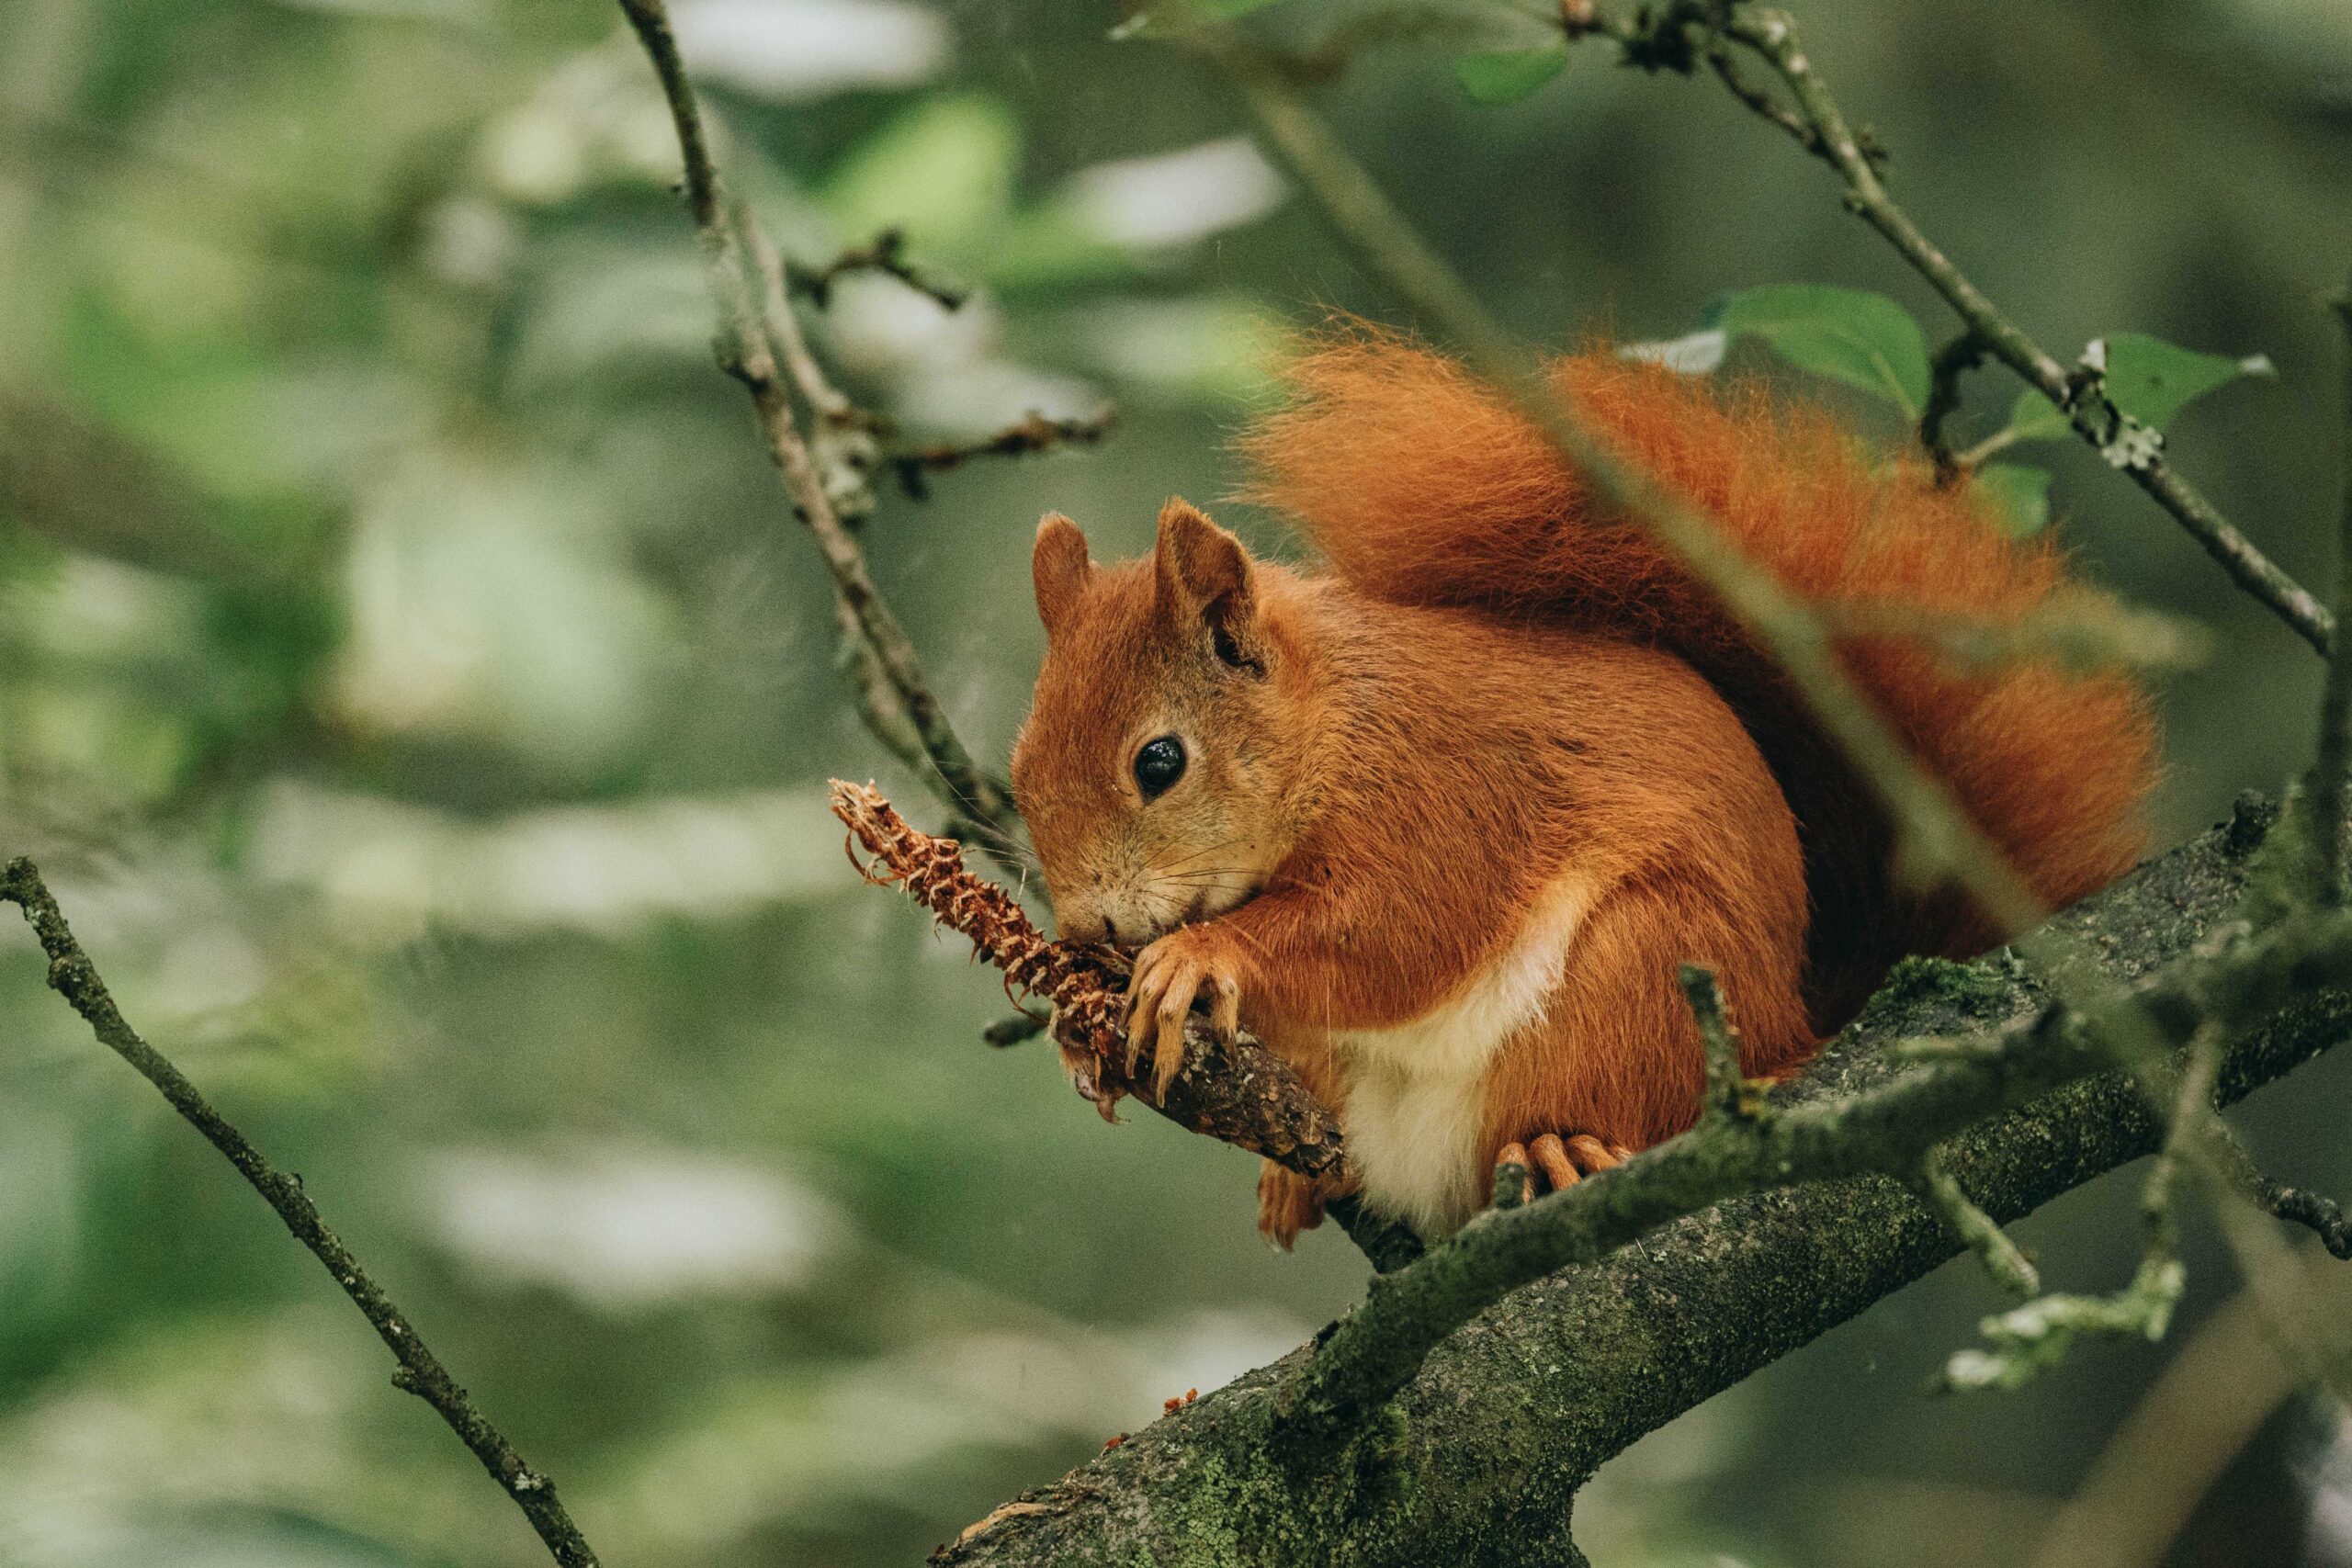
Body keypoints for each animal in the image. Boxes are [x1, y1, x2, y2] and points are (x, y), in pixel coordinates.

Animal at [1001, 333, 2154, 1250]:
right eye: (1017, 769)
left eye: (1159, 763)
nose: (1085, 926)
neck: (1330, 727)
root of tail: (1794, 1023)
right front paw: (1078, 1024)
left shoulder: (1443, 798)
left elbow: (1395, 931)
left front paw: (1198, 955)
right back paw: (1297, 1174)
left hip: (1640, 973)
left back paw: (1562, 1146)